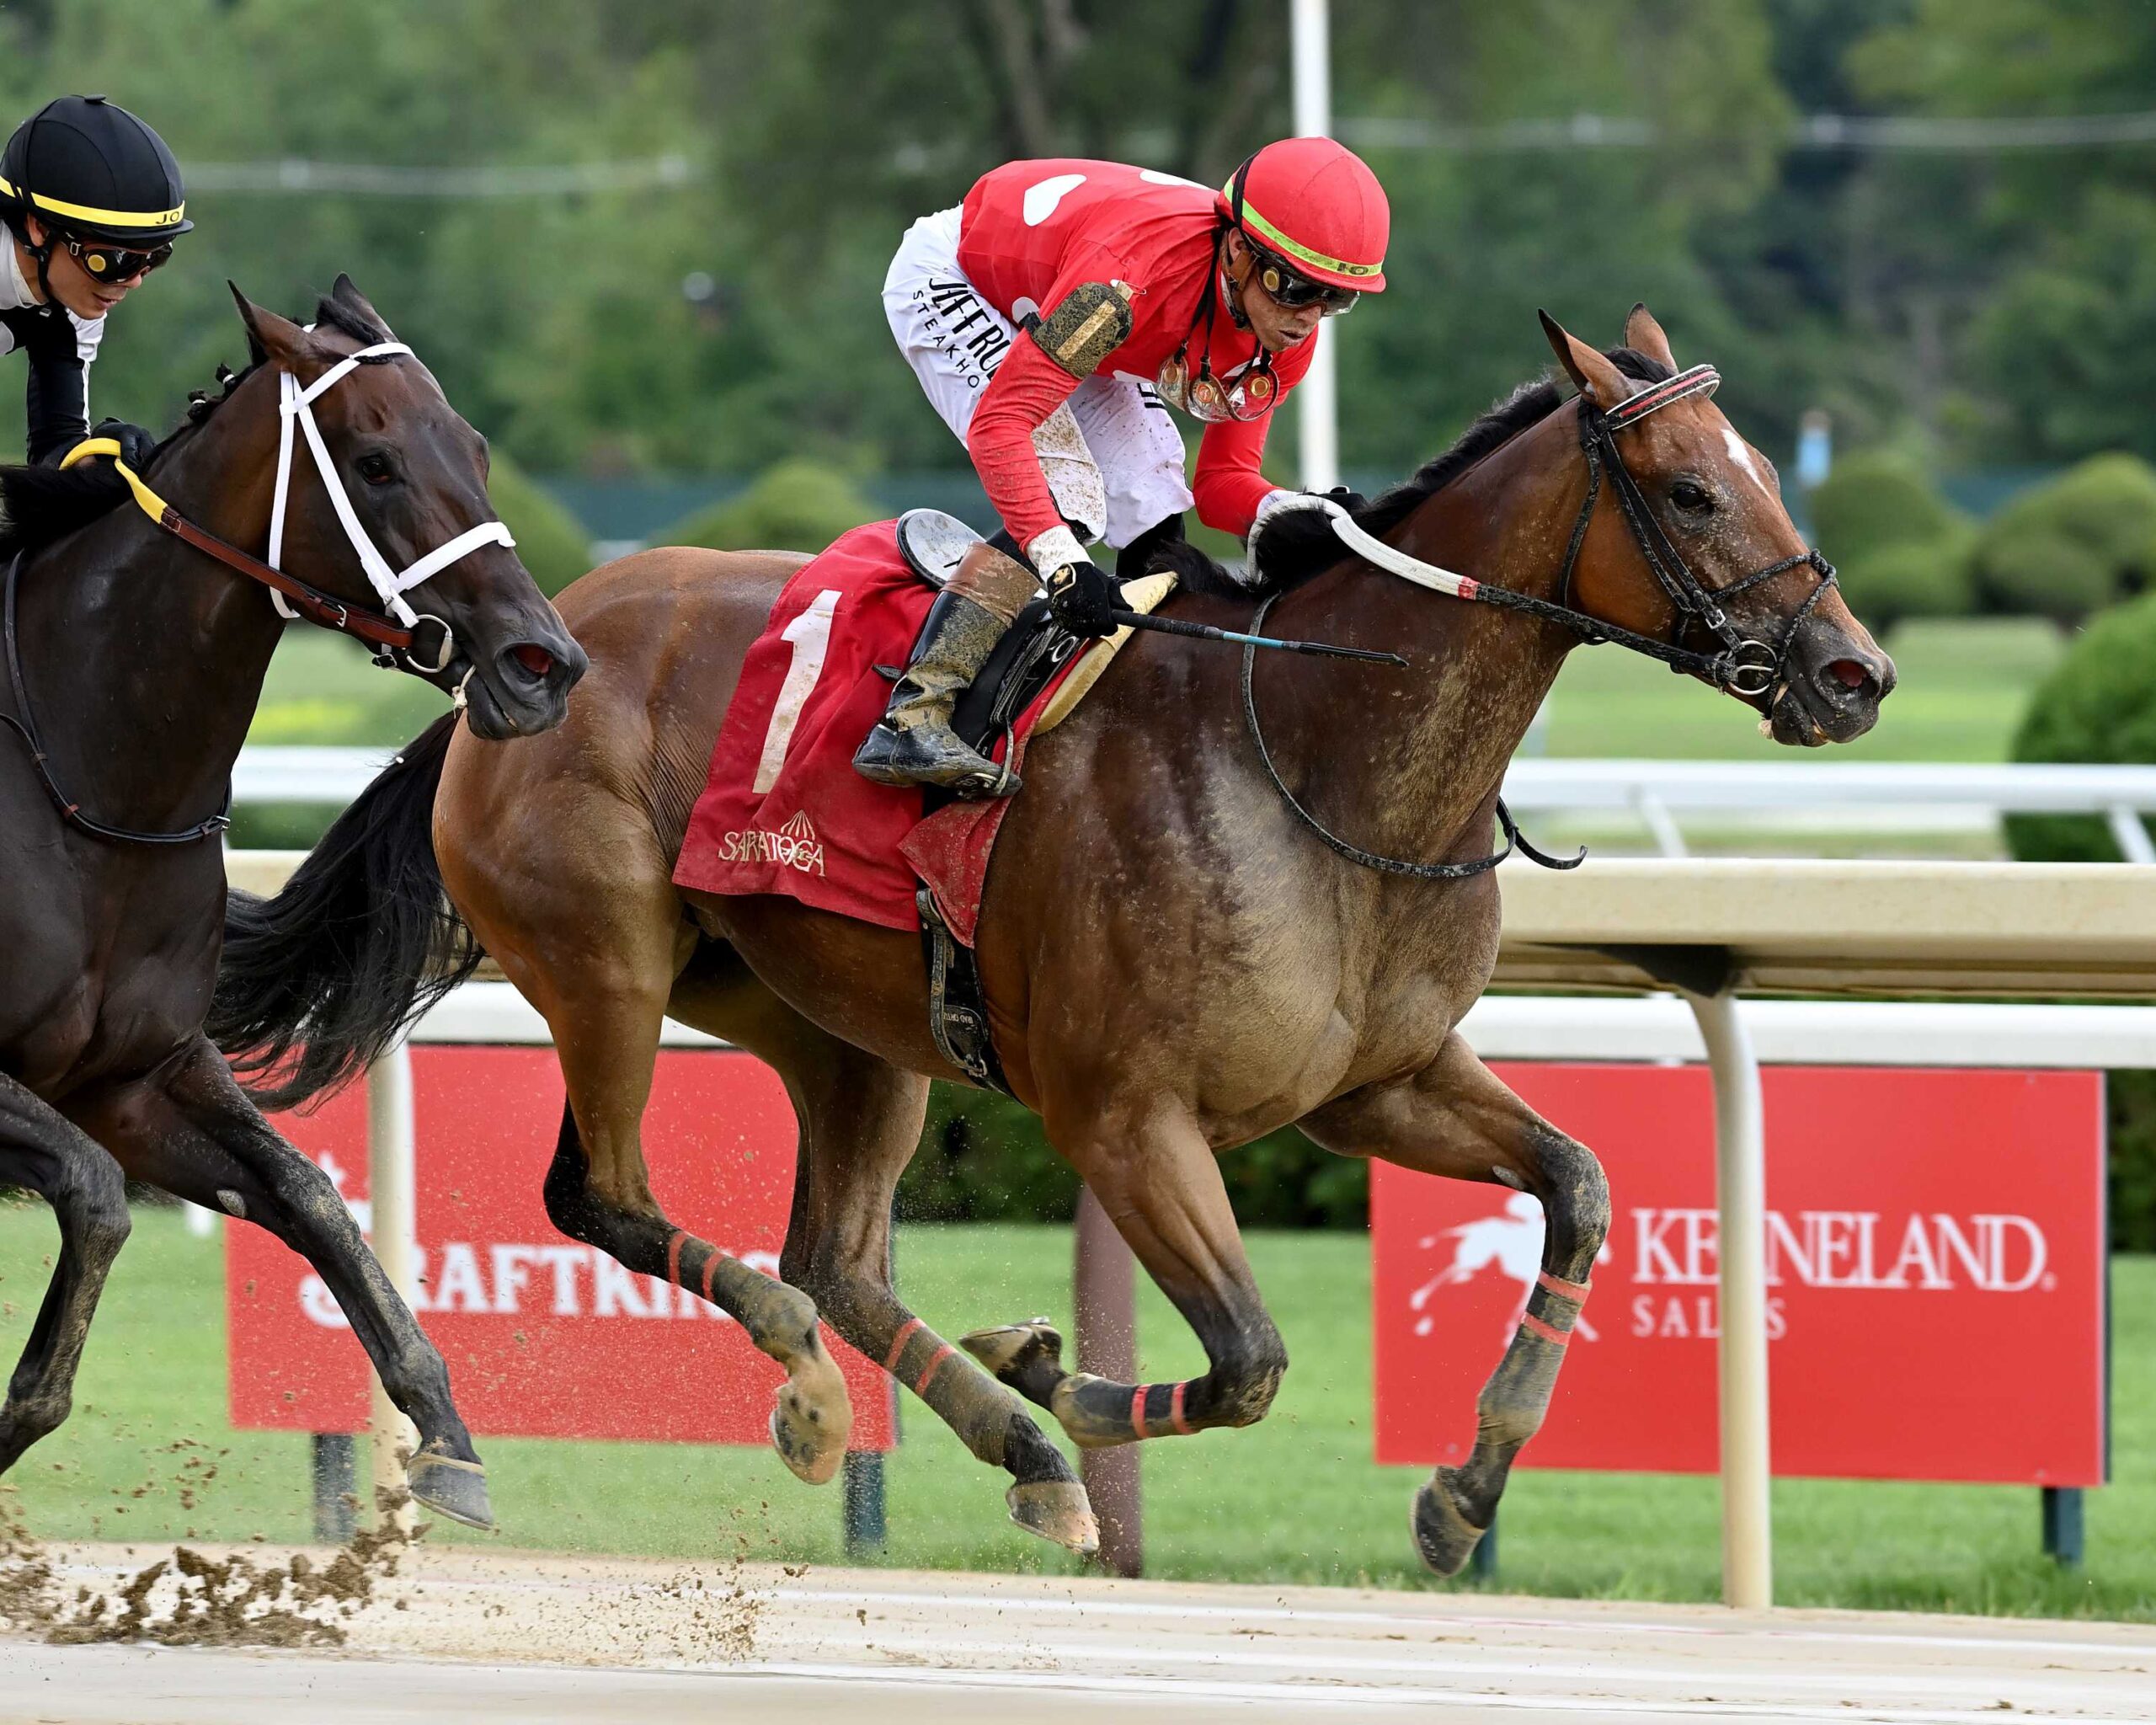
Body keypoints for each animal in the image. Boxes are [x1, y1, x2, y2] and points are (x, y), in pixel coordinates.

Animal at [0, 276, 586, 1530]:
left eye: (473, 445)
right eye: (375, 462)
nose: (542, 663)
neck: (93, 783)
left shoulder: (137, 1075)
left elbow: (313, 1197)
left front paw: (448, 1440)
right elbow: (99, 1197)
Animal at [210, 306, 1892, 1569]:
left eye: (1766, 468)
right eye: (1692, 491)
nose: (1853, 671)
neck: (1314, 756)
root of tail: (523, 653)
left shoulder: (1376, 1081)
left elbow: (1582, 1187)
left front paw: (1462, 1491)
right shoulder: (1124, 1116)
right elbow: (1251, 1359)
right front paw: (1052, 1370)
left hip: (826, 1019)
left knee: (833, 1257)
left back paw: (1013, 1445)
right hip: (607, 963)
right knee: (614, 1197)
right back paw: (827, 1405)